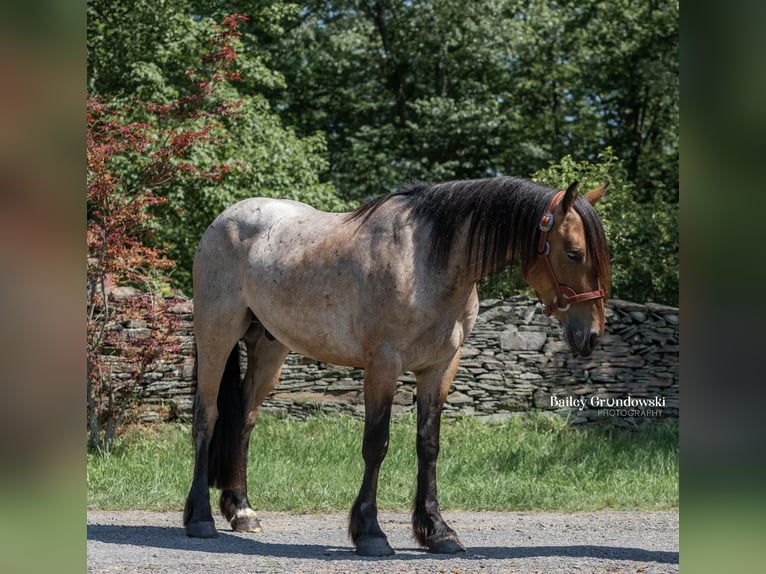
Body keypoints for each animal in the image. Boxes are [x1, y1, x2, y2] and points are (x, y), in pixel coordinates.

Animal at [182, 177, 612, 560]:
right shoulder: (383, 366)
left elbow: (428, 445)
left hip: (269, 348)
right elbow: (376, 445)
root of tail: (226, 220)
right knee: (207, 415)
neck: (426, 262)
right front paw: (371, 534)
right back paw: (200, 518)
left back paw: (242, 511)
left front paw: (437, 531)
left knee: (244, 422)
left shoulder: (440, 368)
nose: (590, 335)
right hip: (216, 334)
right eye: (574, 252)